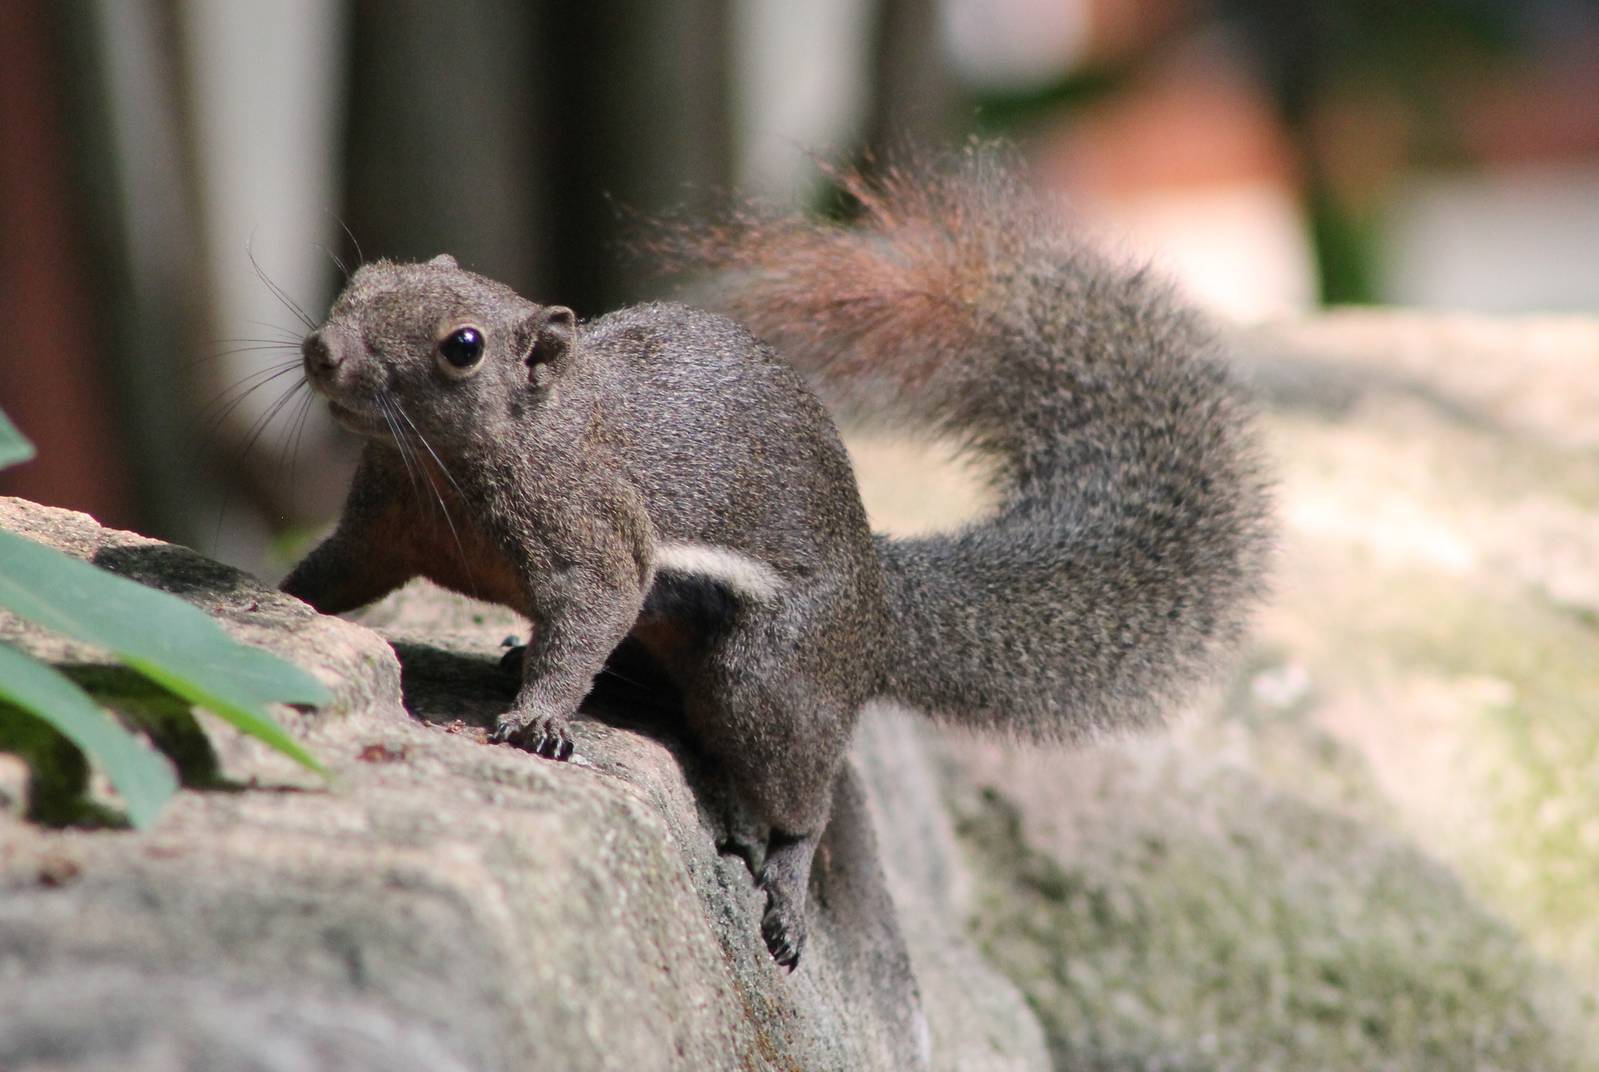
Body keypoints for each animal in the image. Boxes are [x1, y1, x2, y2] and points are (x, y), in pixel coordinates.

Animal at [280, 151, 1271, 970]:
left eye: (463, 347)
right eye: (366, 276)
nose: (323, 351)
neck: (447, 468)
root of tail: (877, 611)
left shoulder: (594, 532)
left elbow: (592, 610)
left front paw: (540, 718)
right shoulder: (382, 525)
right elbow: (340, 575)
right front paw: (278, 598)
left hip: (768, 677)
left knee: (804, 793)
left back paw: (786, 886)